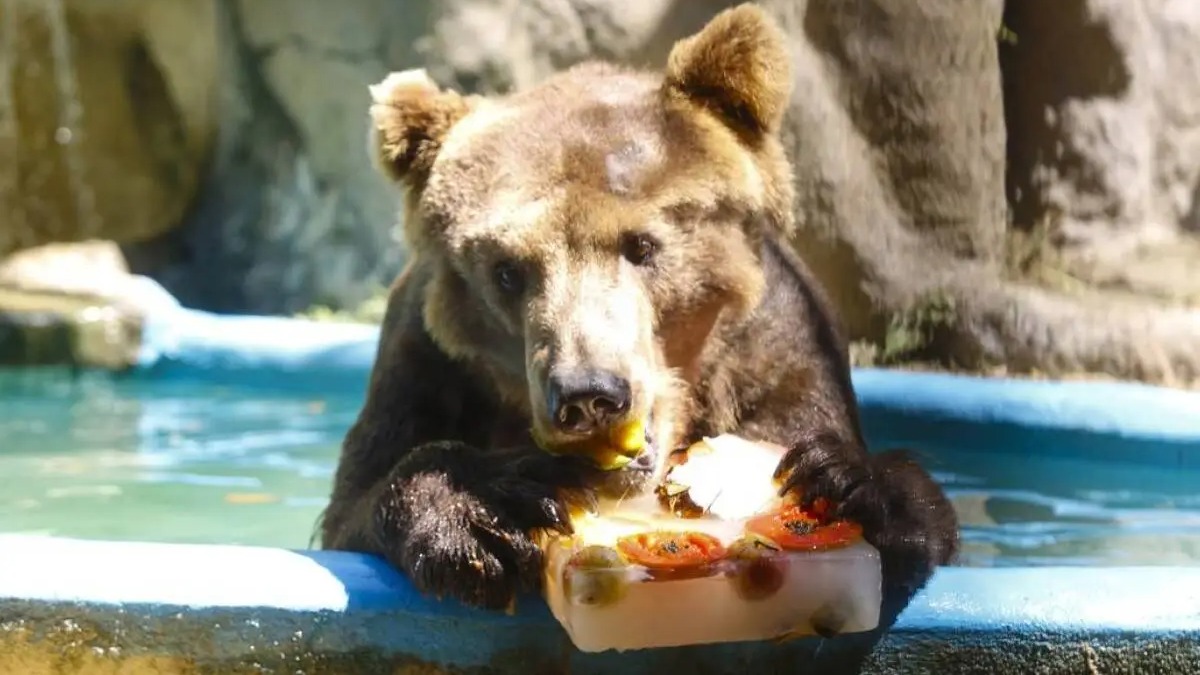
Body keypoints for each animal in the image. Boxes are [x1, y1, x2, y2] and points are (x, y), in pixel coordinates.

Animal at [318, 3, 960, 631]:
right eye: (506, 271)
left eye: (642, 245)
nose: (588, 395)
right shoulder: (427, 365)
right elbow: (360, 500)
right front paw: (489, 508)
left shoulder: (781, 343)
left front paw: (850, 482)